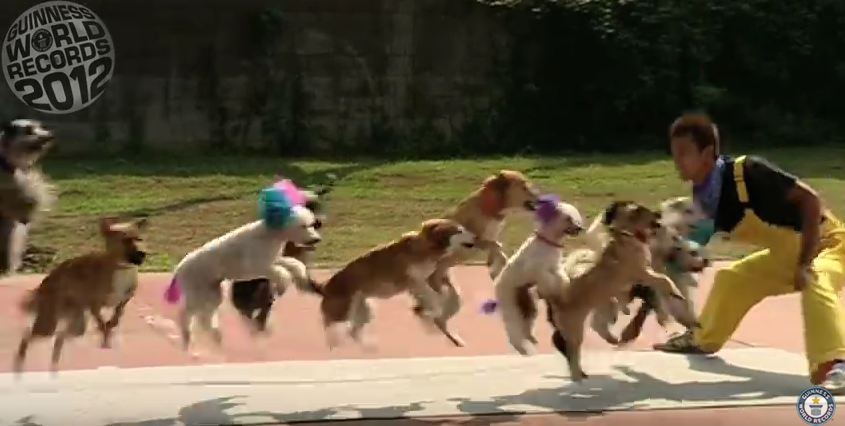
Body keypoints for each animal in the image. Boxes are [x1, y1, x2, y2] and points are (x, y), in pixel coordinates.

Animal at [12, 216, 148, 372]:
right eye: (125, 240)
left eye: (139, 239)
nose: (143, 253)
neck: (122, 269)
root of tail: (43, 283)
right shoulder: (94, 305)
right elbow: (102, 323)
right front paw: (105, 334)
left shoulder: (125, 299)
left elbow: (117, 316)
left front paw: (111, 326)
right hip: (48, 324)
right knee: (27, 336)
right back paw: (20, 362)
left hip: (77, 325)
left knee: (59, 338)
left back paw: (54, 366)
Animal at [318, 220, 478, 350]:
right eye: (459, 230)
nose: (476, 236)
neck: (426, 247)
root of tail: (325, 287)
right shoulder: (413, 281)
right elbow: (434, 299)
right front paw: (431, 313)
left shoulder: (418, 284)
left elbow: (435, 297)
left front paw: (429, 314)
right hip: (343, 311)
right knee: (330, 325)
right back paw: (334, 343)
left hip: (365, 311)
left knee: (352, 331)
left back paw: (367, 347)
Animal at [418, 170, 540, 346]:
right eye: (524, 186)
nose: (540, 196)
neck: (490, 207)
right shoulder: (472, 242)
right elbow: (494, 245)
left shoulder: (490, 240)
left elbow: (498, 252)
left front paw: (498, 268)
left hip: (454, 298)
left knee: (440, 321)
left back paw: (455, 340)